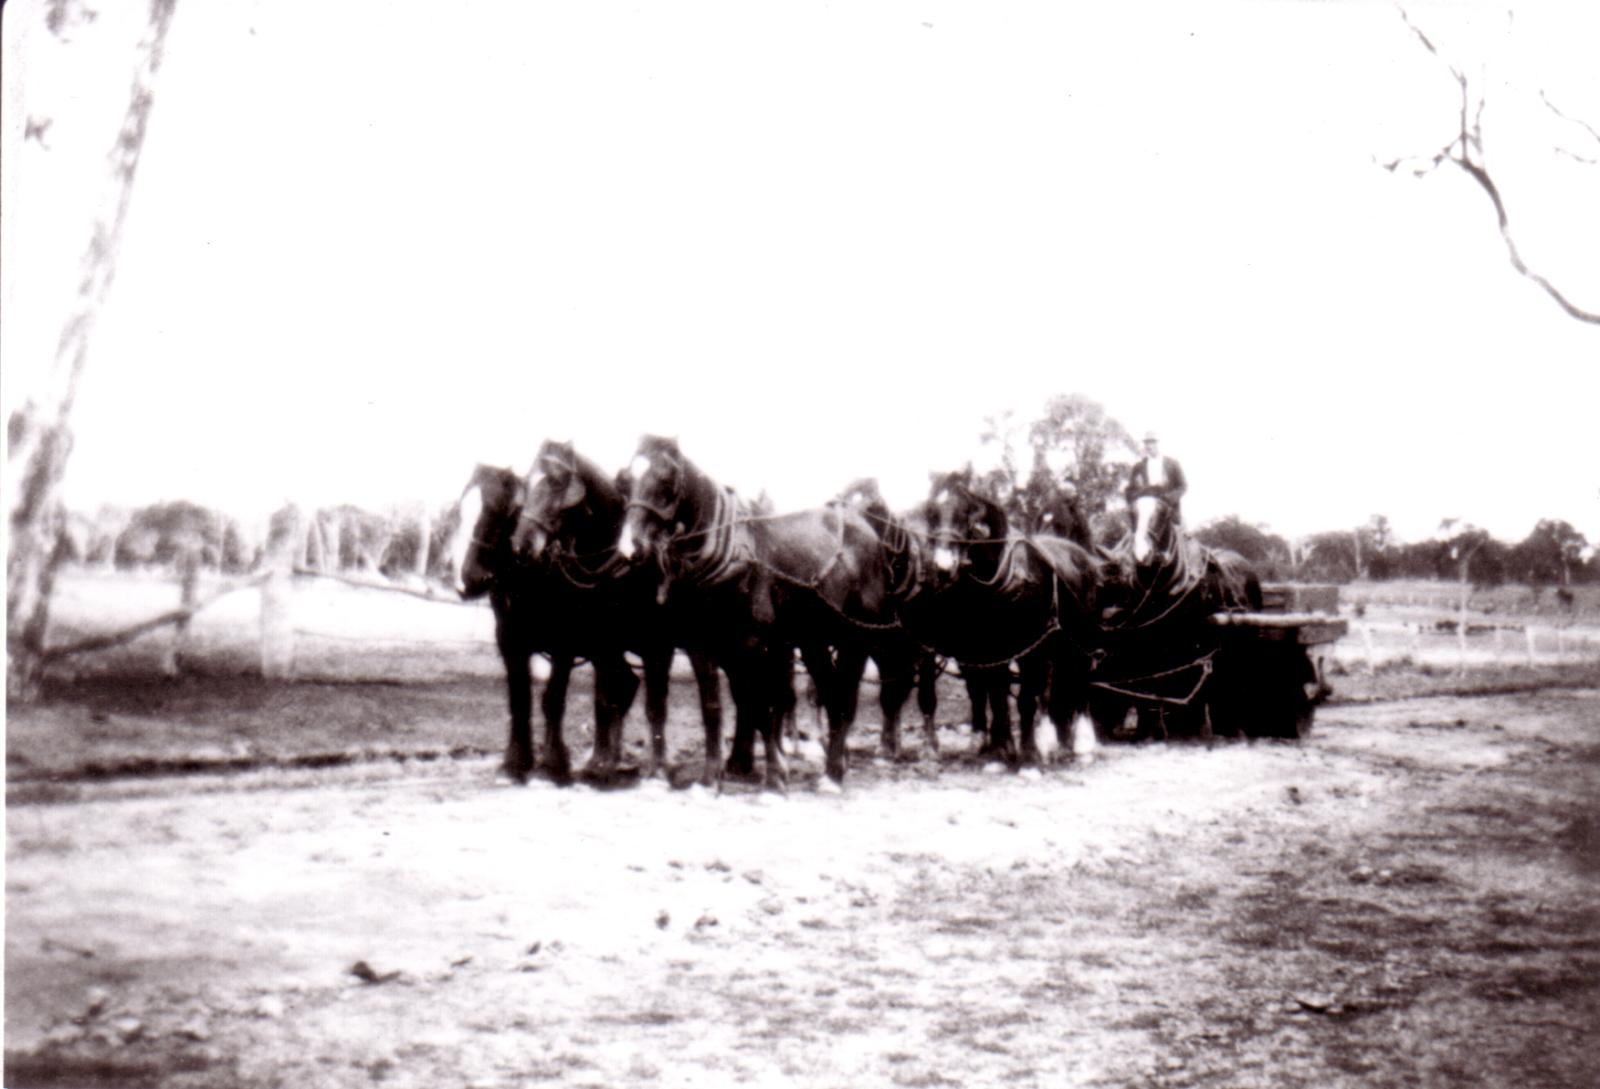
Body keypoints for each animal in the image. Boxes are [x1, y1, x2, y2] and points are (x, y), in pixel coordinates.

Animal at [611, 434, 896, 789]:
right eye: (624, 480)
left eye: (666, 480)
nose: (630, 548)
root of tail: (864, 527)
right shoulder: (701, 645)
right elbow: (713, 707)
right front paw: (710, 778)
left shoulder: (754, 645)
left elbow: (763, 706)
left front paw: (775, 776)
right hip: (813, 640)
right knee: (830, 693)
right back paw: (835, 765)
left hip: (855, 638)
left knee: (843, 697)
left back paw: (832, 774)